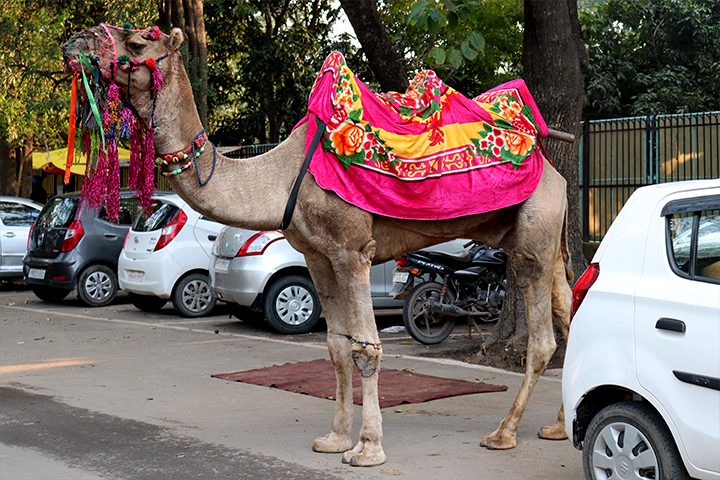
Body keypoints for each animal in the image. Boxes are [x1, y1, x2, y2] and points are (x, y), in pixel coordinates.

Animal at [63, 24, 572, 466]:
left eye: (137, 42)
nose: (75, 41)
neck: (279, 176)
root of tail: (550, 160)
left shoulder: (353, 251)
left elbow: (367, 347)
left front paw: (367, 449)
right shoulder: (317, 256)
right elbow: (336, 347)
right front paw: (333, 439)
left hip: (532, 239)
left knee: (542, 338)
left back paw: (504, 433)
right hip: (539, 238)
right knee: (568, 311)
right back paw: (557, 427)